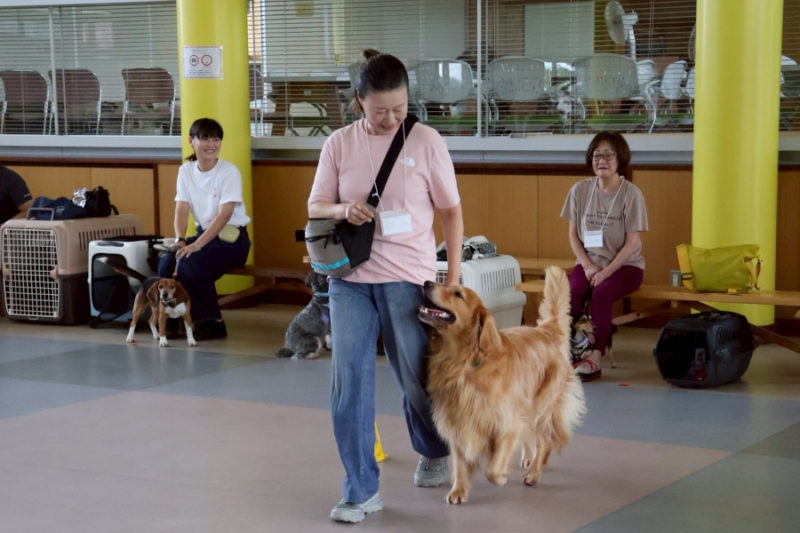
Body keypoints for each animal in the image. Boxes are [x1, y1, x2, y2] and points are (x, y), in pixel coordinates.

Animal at [418, 266, 586, 504]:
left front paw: (502, 476)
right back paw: (528, 459)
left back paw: (534, 473)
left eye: (458, 294)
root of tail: (546, 330)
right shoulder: (457, 419)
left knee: (544, 442)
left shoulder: (507, 423)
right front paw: (458, 491)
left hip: (543, 406)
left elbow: (492, 469)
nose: (427, 283)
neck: (466, 362)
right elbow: (460, 463)